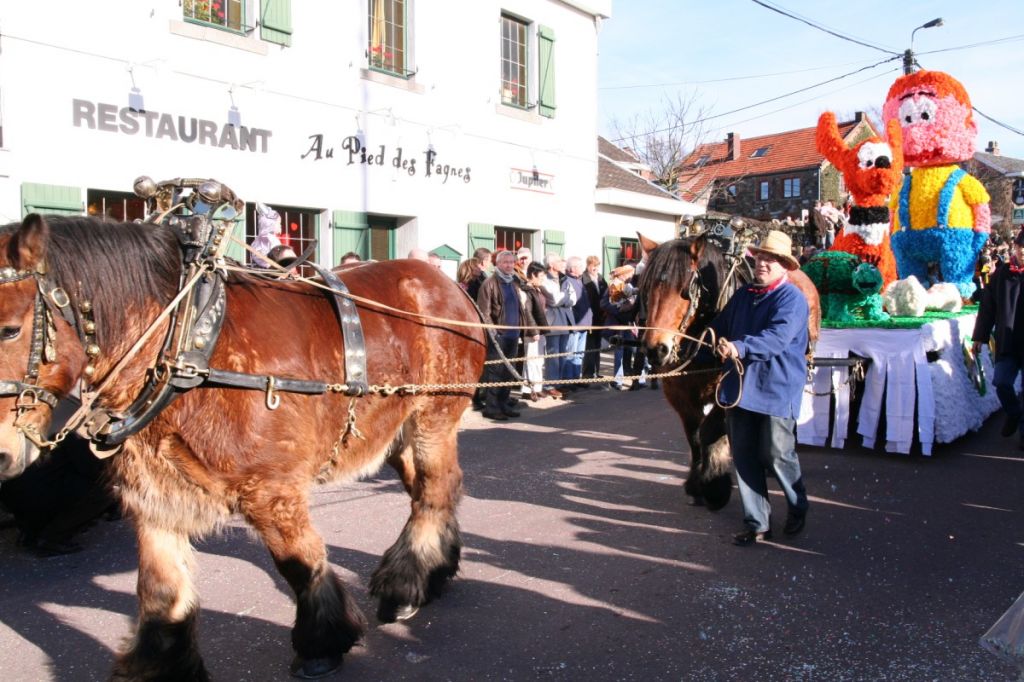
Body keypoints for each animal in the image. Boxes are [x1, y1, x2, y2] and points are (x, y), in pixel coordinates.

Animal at [0, 212, 487, 675]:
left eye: (9, 329)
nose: (4, 454)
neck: (186, 345)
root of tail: (446, 284)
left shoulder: (272, 489)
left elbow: (299, 560)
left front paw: (321, 643)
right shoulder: (156, 495)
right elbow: (160, 590)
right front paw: (158, 663)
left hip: (432, 420)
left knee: (435, 489)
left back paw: (407, 585)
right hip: (396, 434)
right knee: (429, 490)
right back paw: (435, 569)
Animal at [634, 233, 819, 509]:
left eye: (686, 289)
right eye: (647, 287)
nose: (656, 349)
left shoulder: (729, 393)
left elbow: (709, 430)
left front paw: (714, 486)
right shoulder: (680, 396)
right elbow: (695, 435)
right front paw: (696, 485)